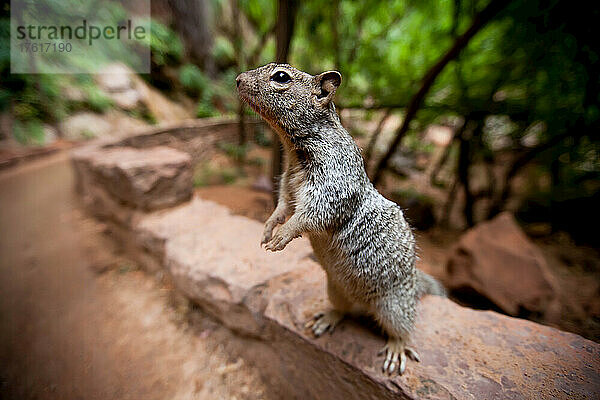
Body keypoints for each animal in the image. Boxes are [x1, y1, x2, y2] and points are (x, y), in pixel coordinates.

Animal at [236, 62, 446, 376]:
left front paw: (283, 235)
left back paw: (397, 348)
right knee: (343, 310)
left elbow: (311, 213)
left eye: (281, 77)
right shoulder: (288, 182)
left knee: (403, 330)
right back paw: (328, 317)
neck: (293, 150)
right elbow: (283, 206)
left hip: (395, 306)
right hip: (335, 288)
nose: (238, 79)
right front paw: (269, 227)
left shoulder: (334, 181)